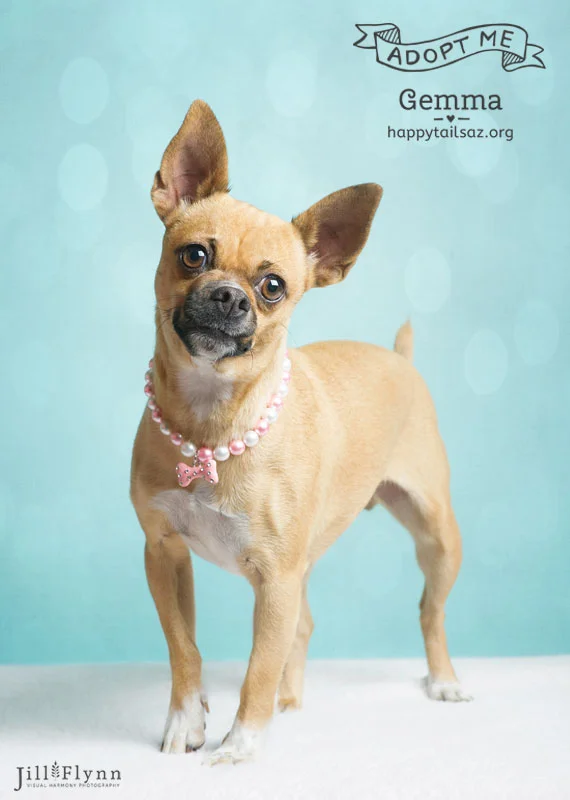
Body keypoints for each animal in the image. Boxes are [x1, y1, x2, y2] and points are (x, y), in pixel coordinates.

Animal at [130, 99, 471, 765]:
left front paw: (241, 744)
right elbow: (185, 649)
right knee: (306, 627)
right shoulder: (165, 554)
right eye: (193, 256)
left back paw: (443, 680)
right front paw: (187, 719)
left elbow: (258, 666)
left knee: (431, 612)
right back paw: (290, 703)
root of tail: (401, 360)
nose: (229, 296)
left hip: (437, 536)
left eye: (272, 287)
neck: (213, 427)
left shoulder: (275, 580)